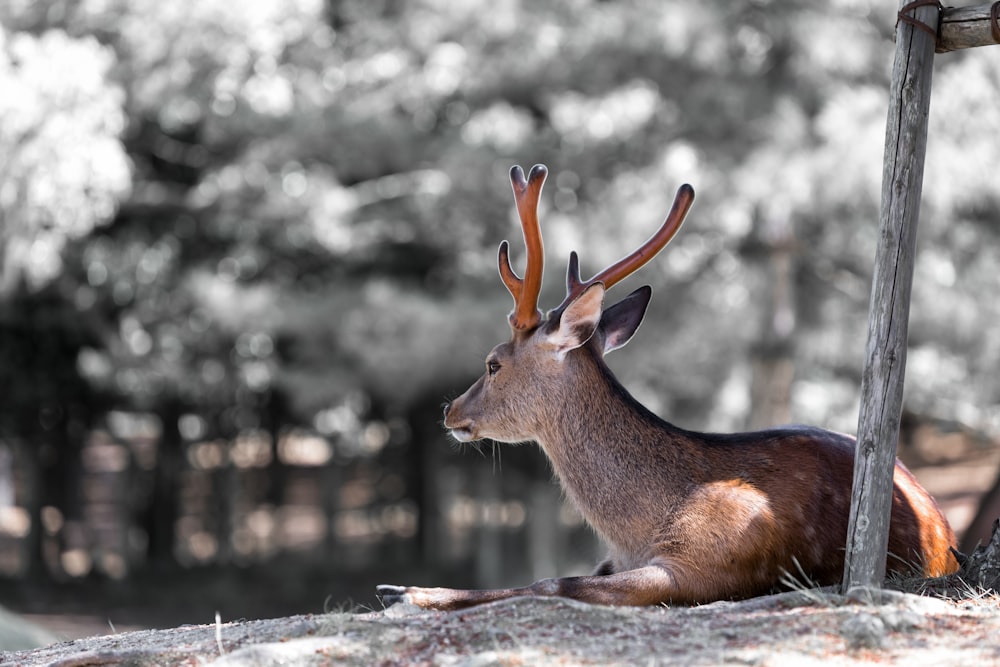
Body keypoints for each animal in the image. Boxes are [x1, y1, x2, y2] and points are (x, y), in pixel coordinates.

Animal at [376, 163, 960, 612]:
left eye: (493, 363)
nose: (451, 411)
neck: (638, 528)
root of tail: (948, 529)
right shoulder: (614, 558)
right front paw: (404, 587)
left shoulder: (705, 565)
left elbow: (551, 581)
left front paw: (406, 592)